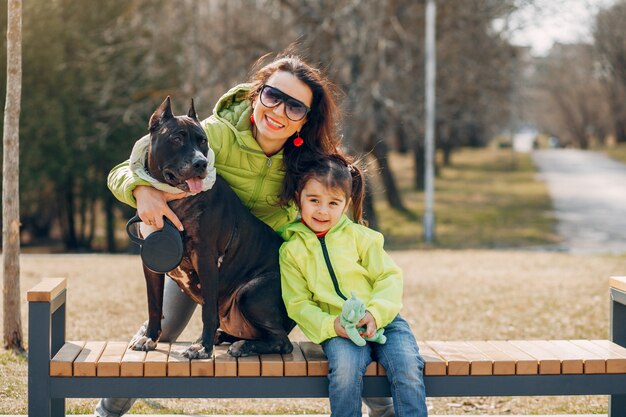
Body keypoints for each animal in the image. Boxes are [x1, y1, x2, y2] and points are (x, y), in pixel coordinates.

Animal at [130, 96, 294, 358]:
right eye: (177, 138)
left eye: (203, 141)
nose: (201, 162)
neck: (171, 198)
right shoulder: (150, 260)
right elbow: (154, 304)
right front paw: (150, 337)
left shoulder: (205, 256)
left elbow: (208, 309)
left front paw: (202, 348)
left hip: (251, 293)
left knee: (281, 341)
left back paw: (241, 346)